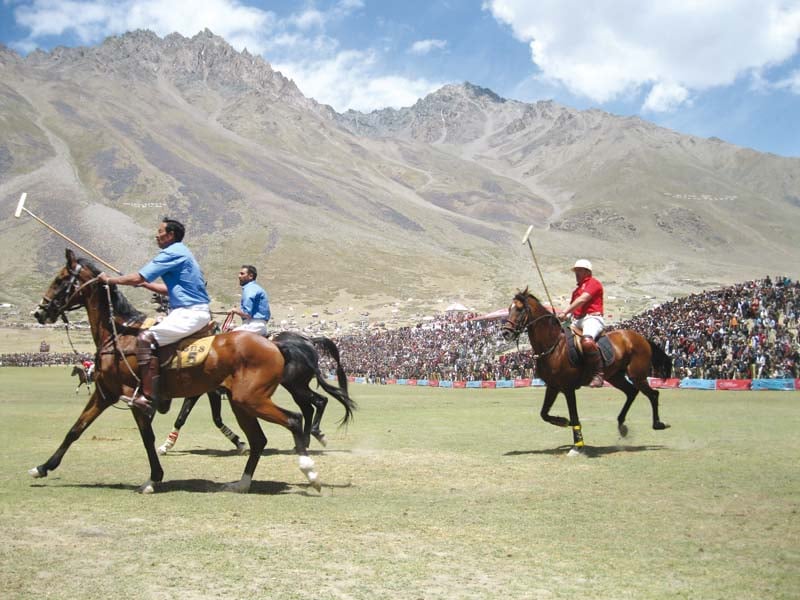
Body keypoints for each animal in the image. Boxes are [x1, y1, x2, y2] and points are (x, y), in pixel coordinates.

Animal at [30, 248, 354, 492]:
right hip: (245, 400)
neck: (120, 334)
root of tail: (283, 345)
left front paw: (155, 475)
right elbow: (75, 429)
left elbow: (153, 435)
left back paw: (309, 467)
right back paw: (245, 481)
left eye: (60, 280)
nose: (39, 312)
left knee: (298, 415)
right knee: (269, 433)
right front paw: (43, 467)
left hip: (256, 397)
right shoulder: (105, 393)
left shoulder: (139, 397)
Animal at [500, 288, 668, 452]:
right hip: (615, 376)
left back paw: (658, 424)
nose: (505, 333)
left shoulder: (568, 388)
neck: (553, 345)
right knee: (631, 392)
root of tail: (642, 338)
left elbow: (574, 416)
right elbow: (544, 413)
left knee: (653, 394)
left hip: (637, 375)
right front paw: (563, 421)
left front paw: (578, 445)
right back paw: (622, 425)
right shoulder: (553, 386)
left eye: (520, 309)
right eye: (508, 309)